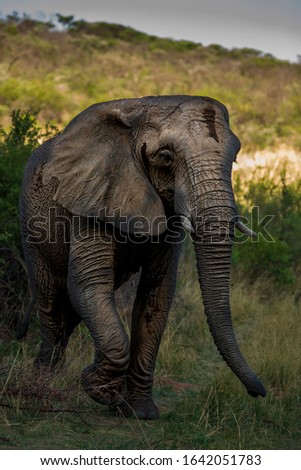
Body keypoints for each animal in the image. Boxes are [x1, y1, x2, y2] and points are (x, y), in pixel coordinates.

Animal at [18, 94, 264, 418]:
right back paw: (39, 388)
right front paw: (101, 390)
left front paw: (140, 412)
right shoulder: (93, 195)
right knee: (52, 306)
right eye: (166, 157)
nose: (257, 392)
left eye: (234, 159)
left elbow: (156, 292)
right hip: (33, 231)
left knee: (69, 314)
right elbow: (88, 284)